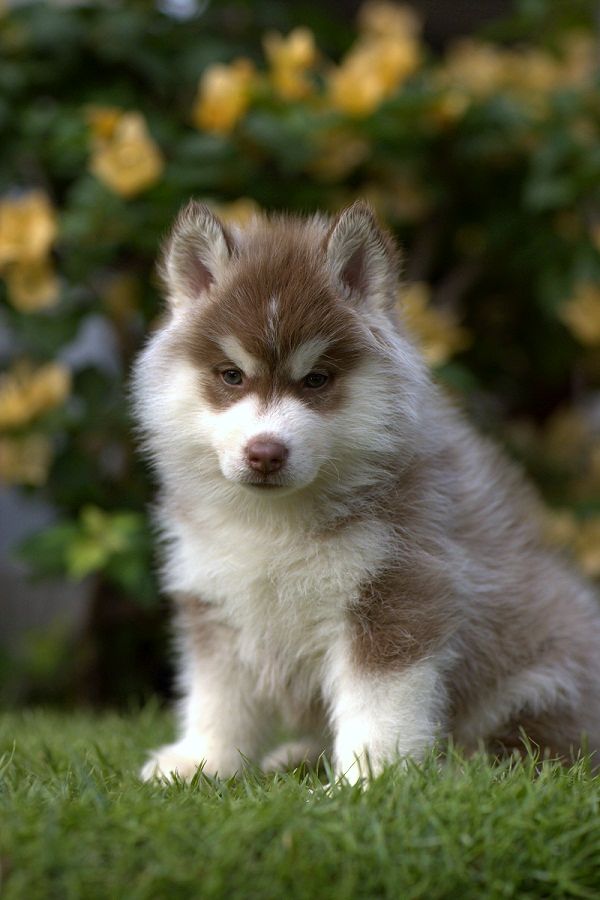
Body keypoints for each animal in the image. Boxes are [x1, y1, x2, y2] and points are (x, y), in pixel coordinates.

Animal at [133, 199, 600, 783]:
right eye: (231, 375)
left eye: (316, 380)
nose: (265, 452)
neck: (277, 524)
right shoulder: (216, 598)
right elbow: (218, 698)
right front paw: (202, 762)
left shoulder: (398, 594)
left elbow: (379, 709)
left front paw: (367, 783)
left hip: (544, 673)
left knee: (532, 751)